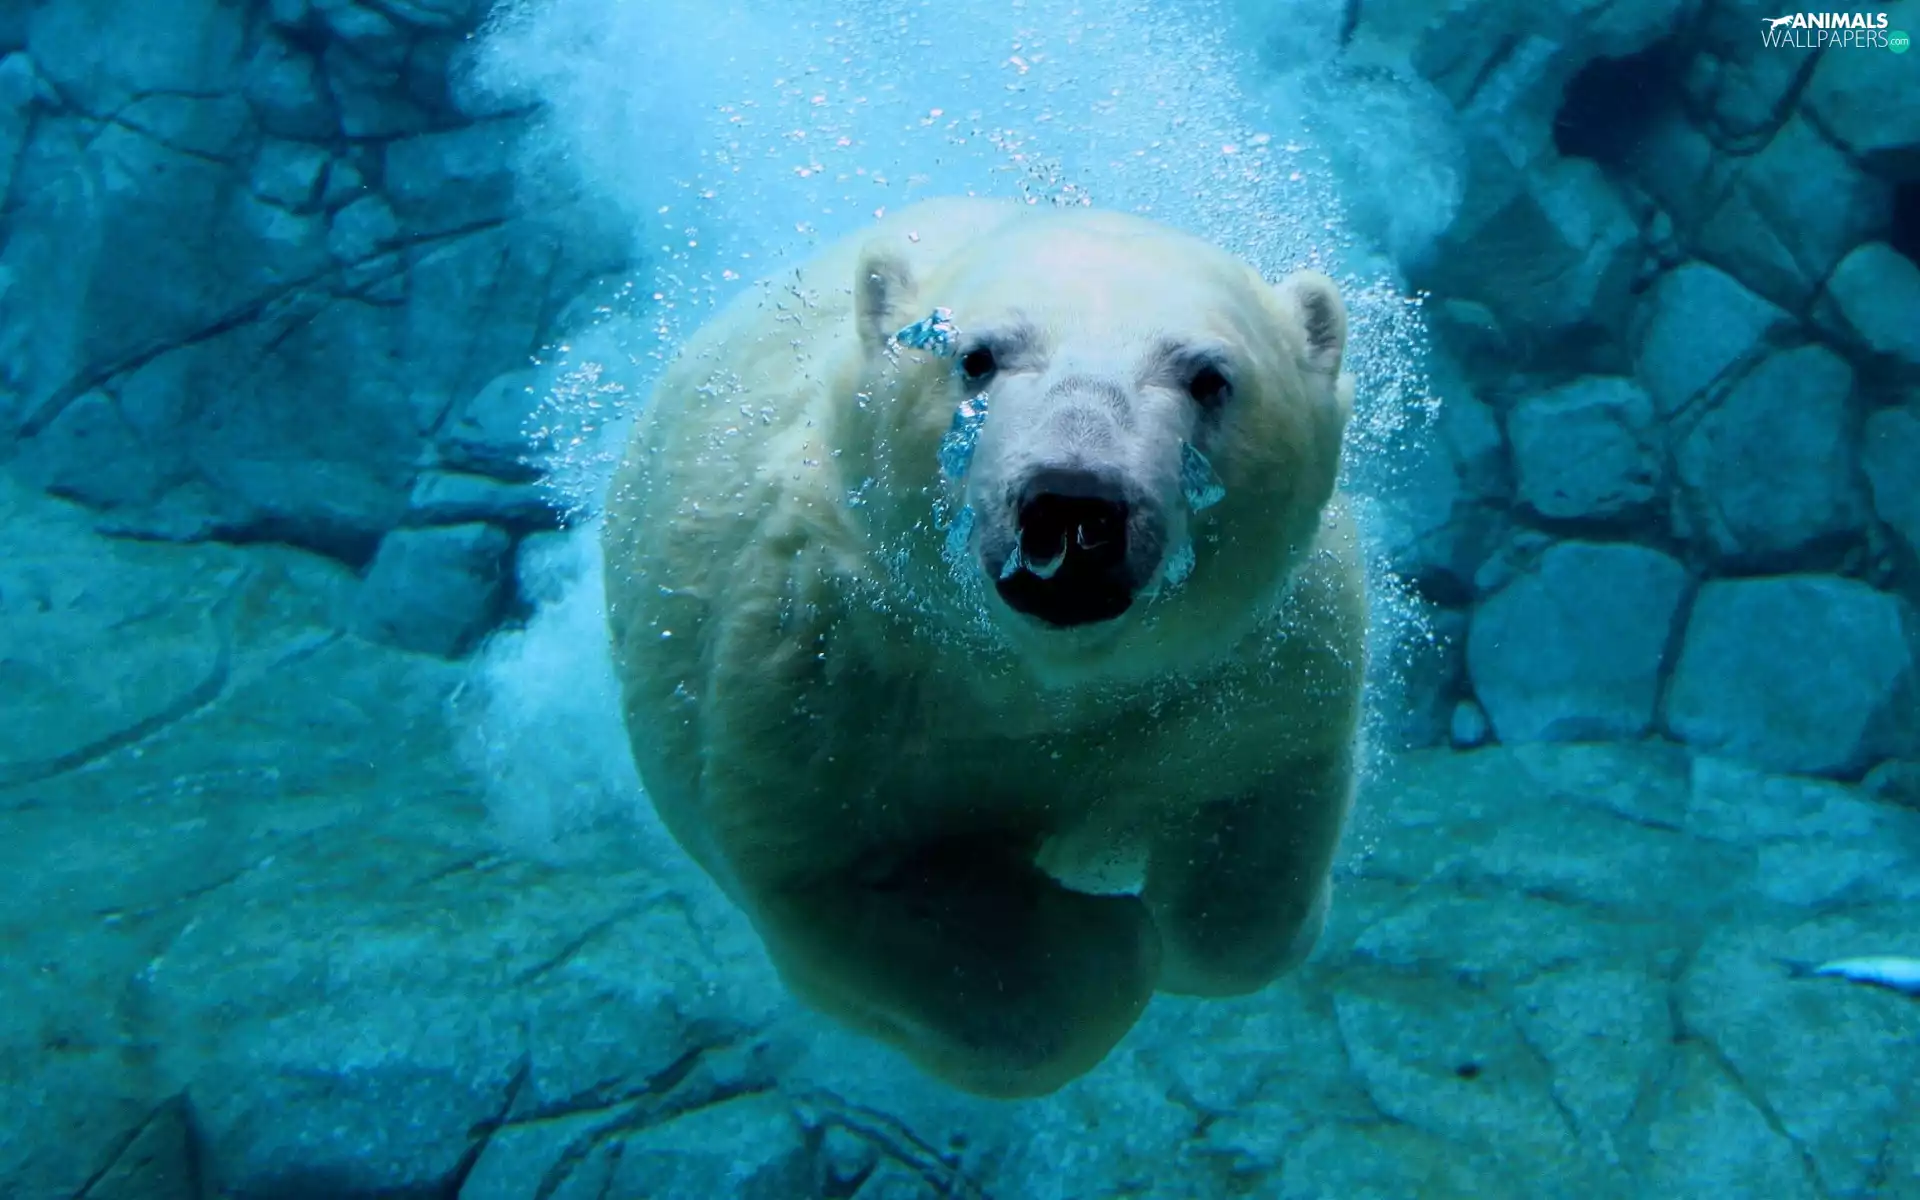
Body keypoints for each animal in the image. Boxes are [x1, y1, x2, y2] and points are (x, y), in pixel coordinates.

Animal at [601, 197, 1366, 1099]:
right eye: (976, 356)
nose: (1074, 504)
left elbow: (1256, 825)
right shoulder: (823, 670)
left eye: (1210, 376)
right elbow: (854, 882)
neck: (1036, 678)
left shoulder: (1252, 662)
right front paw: (1106, 940)